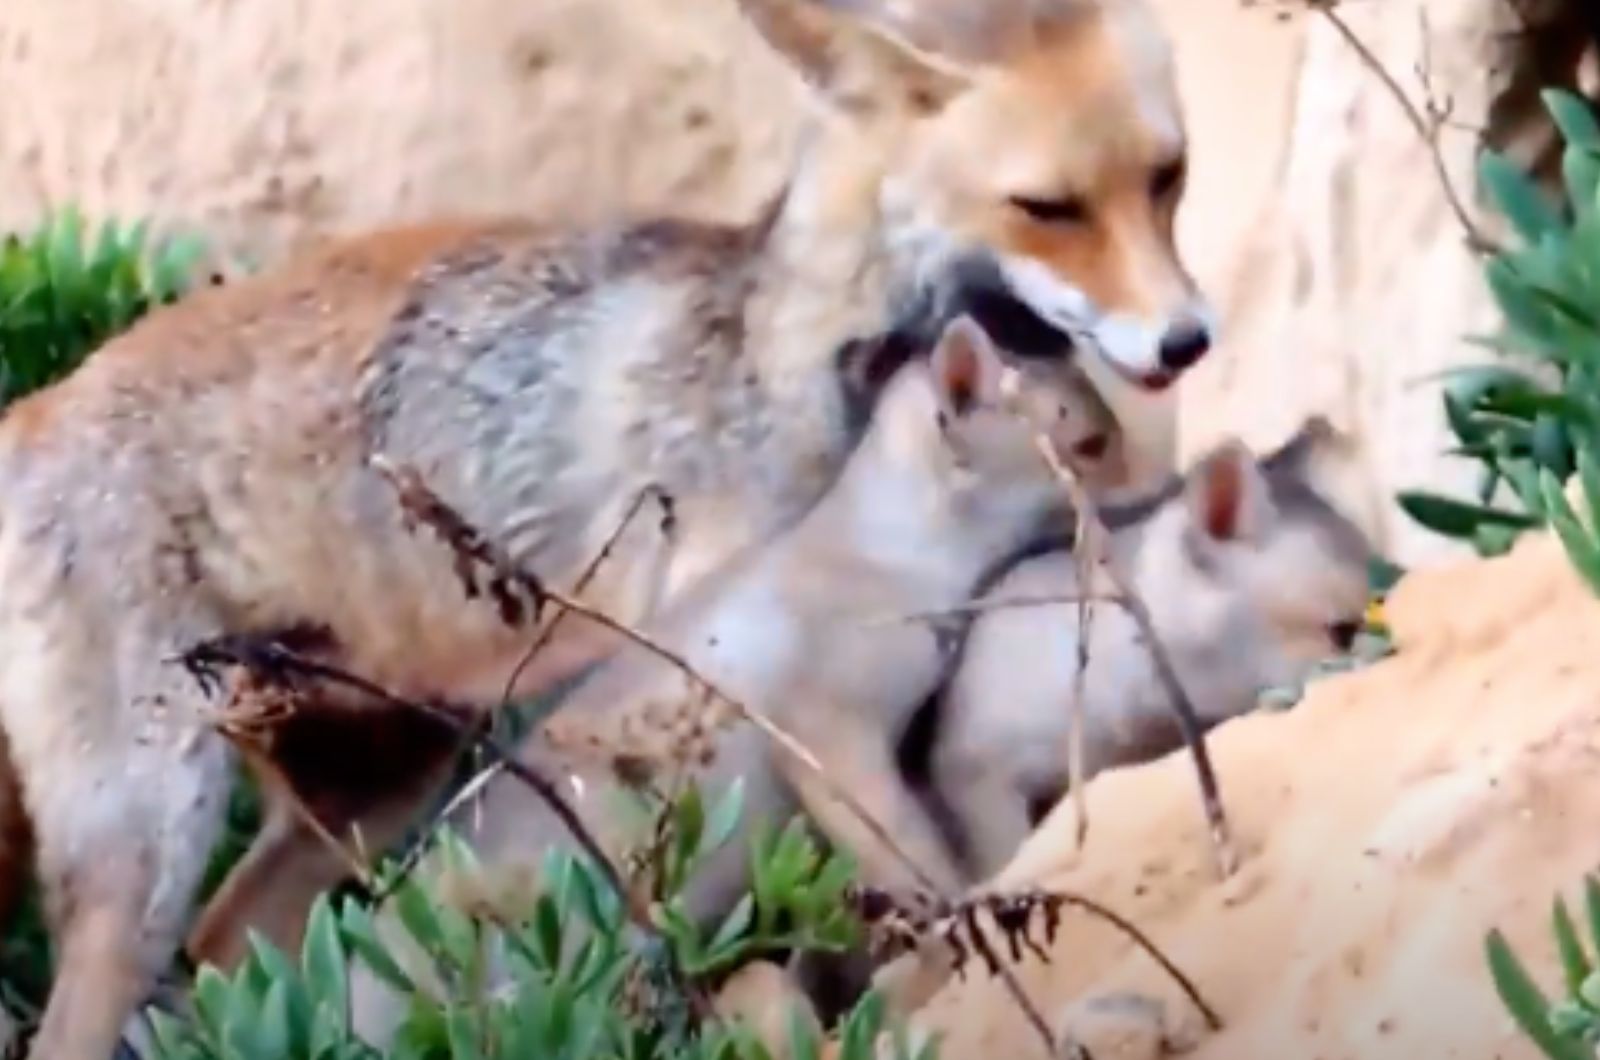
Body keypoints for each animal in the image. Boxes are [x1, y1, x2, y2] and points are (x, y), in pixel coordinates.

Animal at [0, 0, 1209, 1056]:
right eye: (1047, 208)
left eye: (1168, 177)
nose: (1188, 340)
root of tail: (34, 408)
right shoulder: (716, 666)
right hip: (149, 851)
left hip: (366, 787)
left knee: (241, 958)